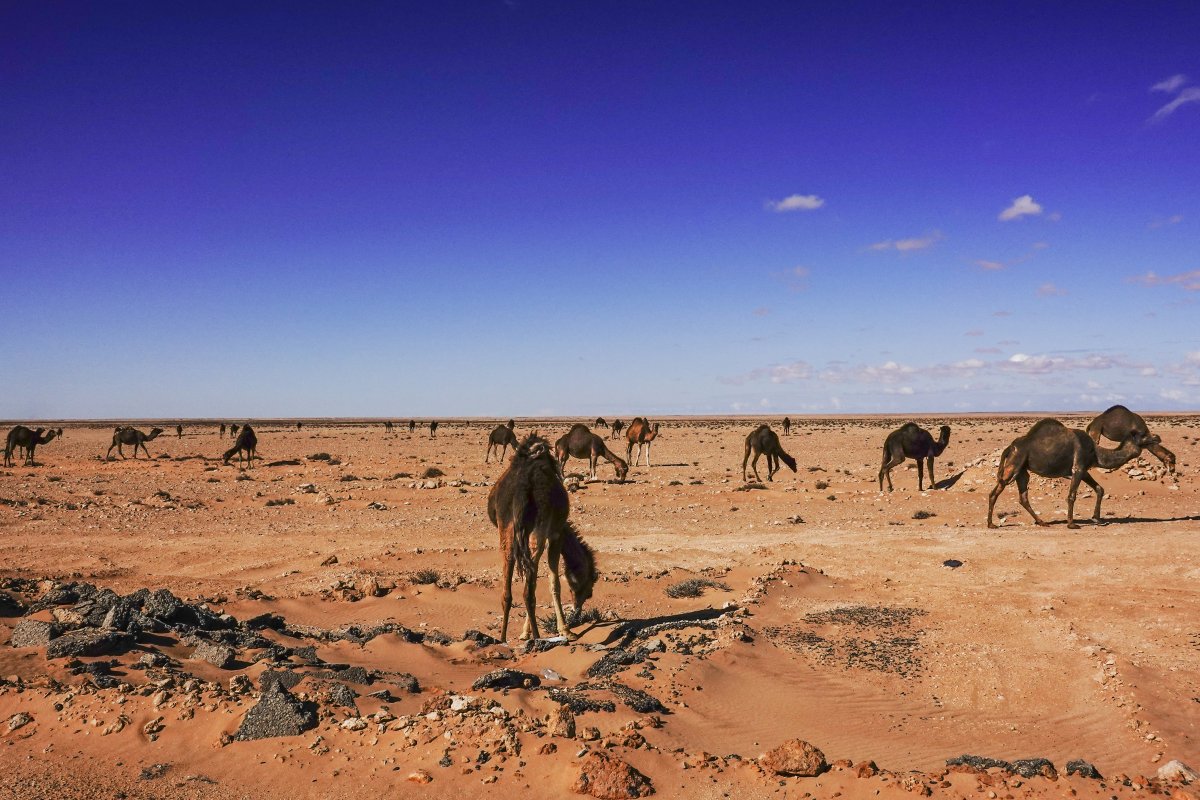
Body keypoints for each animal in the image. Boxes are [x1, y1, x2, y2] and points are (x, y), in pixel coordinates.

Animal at [487, 434, 600, 642]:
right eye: (588, 591)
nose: (578, 610)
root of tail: (522, 488)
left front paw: (524, 633)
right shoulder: (555, 535)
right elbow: (554, 582)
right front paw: (565, 630)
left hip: (506, 529)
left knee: (508, 590)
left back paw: (503, 638)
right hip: (538, 529)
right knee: (528, 589)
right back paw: (538, 637)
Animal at [984, 419, 1152, 532]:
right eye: (1143, 435)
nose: (1156, 438)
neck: (1096, 453)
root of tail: (1009, 447)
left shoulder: (1084, 470)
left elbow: (1099, 488)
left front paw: (1097, 518)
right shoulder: (1078, 467)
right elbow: (1071, 496)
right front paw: (1071, 524)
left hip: (1022, 471)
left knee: (1023, 497)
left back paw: (1042, 522)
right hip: (1014, 465)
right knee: (995, 492)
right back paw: (991, 524)